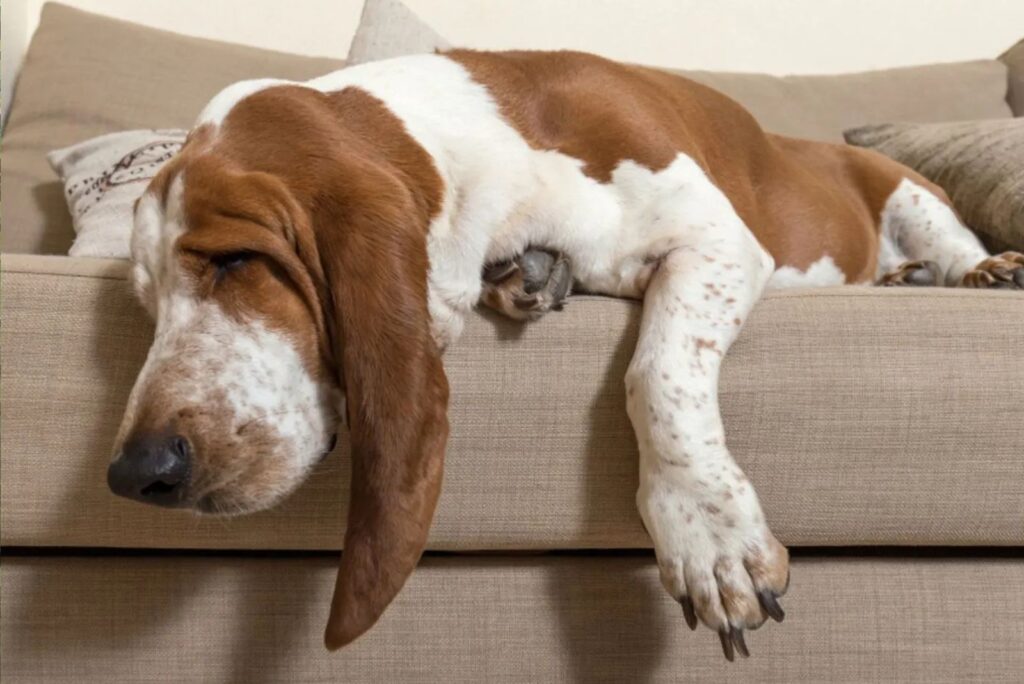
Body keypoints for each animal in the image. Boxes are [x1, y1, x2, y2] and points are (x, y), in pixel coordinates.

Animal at [105, 49, 1024, 663]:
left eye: (235, 262)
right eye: (147, 306)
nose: (135, 474)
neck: (481, 150)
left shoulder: (715, 242)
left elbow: (656, 371)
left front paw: (709, 536)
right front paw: (530, 275)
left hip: (910, 192)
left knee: (948, 243)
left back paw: (977, 271)